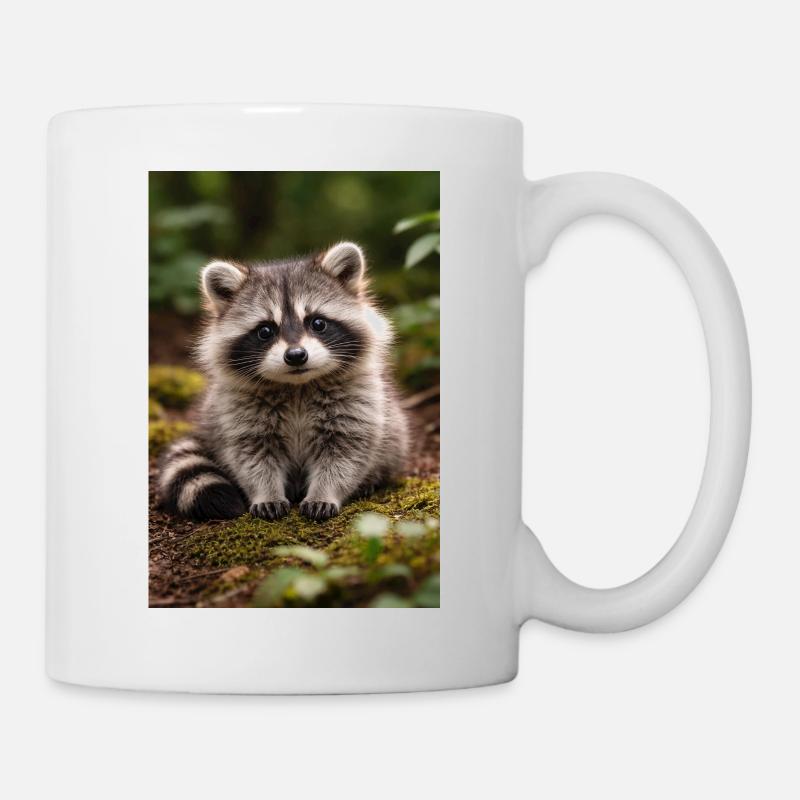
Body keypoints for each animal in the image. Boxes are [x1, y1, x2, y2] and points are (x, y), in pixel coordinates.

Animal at [157, 242, 410, 522]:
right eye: (265, 330)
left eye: (318, 323)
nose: (296, 356)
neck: (297, 385)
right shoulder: (239, 409)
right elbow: (252, 457)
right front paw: (266, 493)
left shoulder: (357, 400)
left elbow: (345, 454)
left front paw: (325, 492)